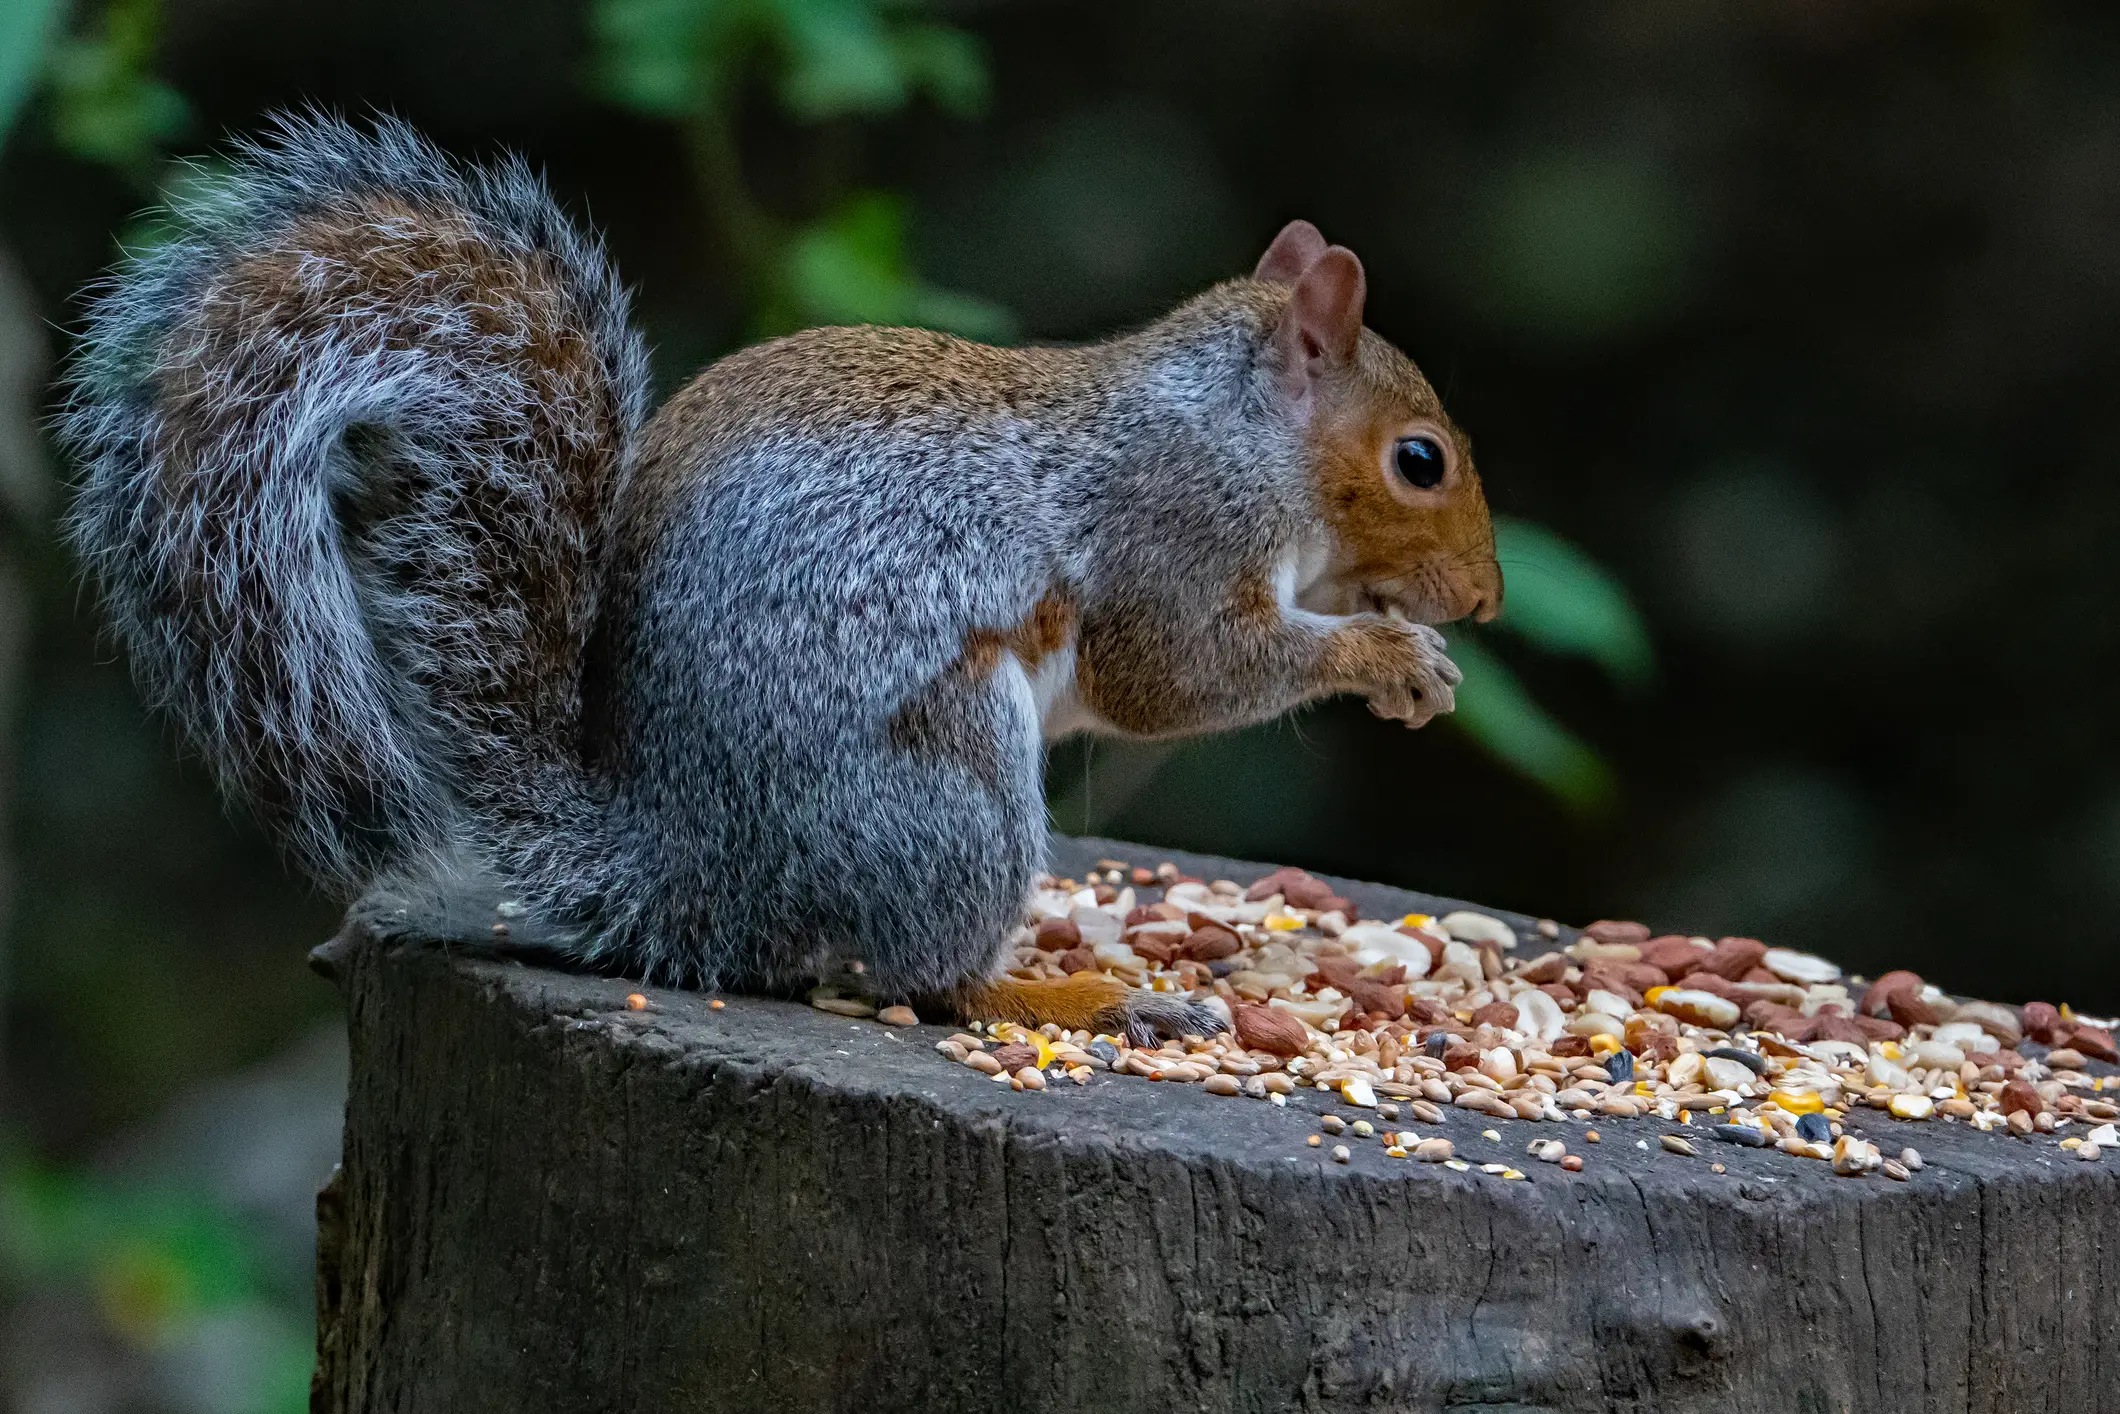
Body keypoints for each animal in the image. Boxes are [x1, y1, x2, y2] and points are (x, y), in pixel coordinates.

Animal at [60, 115, 1501, 1044]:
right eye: (1419, 459)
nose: (1484, 598)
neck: (1239, 426)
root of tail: (689, 872)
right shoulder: (1174, 534)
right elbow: (1181, 672)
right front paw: (1385, 657)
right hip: (947, 786)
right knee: (926, 977)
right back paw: (1073, 996)